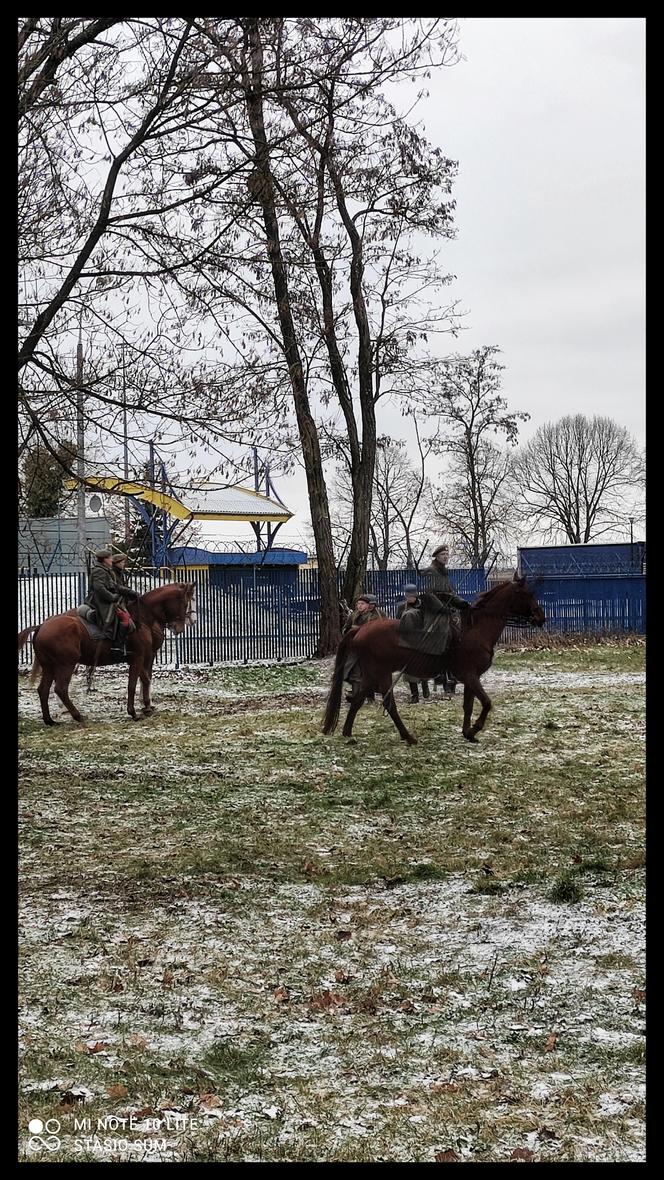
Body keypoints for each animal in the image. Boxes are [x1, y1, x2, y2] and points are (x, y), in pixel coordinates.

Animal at [16, 582, 195, 726]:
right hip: (66, 665)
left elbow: (145, 679)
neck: (142, 618)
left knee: (43, 689)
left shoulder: (139, 658)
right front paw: (134, 712)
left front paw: (147, 707)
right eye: (185, 602)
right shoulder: (139, 657)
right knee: (60, 689)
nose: (182, 626)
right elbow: (133, 684)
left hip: (49, 667)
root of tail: (41, 626)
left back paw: (49, 720)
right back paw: (77, 715)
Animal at [323, 573, 544, 745]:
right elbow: (487, 703)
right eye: (527, 594)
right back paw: (408, 737)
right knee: (388, 704)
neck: (476, 630)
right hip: (381, 673)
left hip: (372, 675)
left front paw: (467, 733)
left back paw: (349, 733)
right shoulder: (470, 675)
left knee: (360, 699)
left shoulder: (469, 678)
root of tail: (360, 629)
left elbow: (468, 705)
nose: (541, 618)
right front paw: (474, 729)